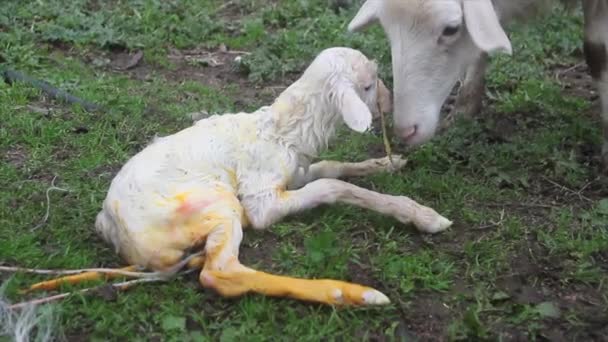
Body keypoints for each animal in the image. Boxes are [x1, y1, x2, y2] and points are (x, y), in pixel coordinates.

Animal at [25, 46, 452, 306]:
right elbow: (330, 184)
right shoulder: (262, 196)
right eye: (367, 84)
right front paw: (423, 216)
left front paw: (390, 164)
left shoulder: (294, 174)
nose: (391, 104)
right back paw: (354, 295)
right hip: (216, 201)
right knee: (219, 273)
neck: (284, 132)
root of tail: (111, 229)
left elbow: (330, 168)